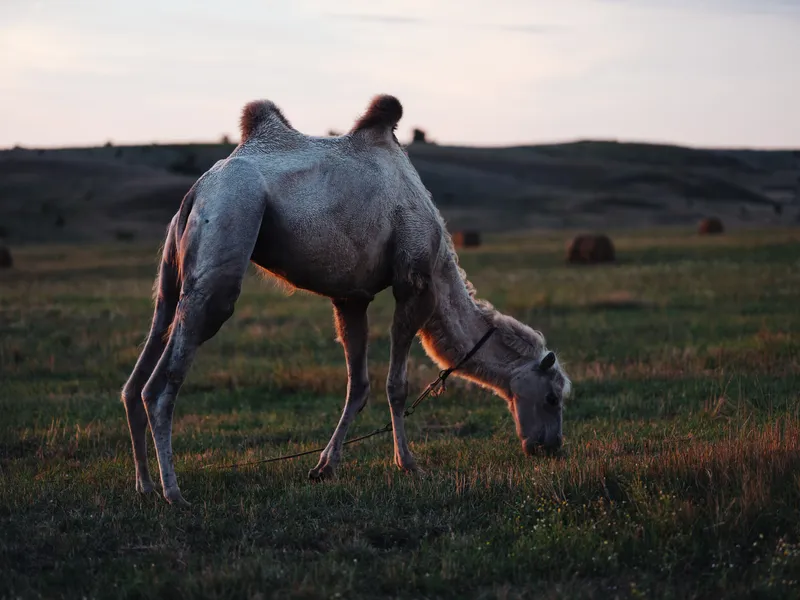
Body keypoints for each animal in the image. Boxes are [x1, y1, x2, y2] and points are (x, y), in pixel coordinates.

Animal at [121, 95, 571, 505]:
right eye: (553, 397)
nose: (550, 448)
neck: (442, 262)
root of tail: (200, 189)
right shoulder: (414, 282)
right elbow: (395, 385)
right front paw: (408, 464)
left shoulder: (351, 297)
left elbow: (359, 385)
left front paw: (324, 466)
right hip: (229, 226)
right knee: (161, 384)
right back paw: (173, 493)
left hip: (174, 268)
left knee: (141, 366)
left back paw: (145, 485)